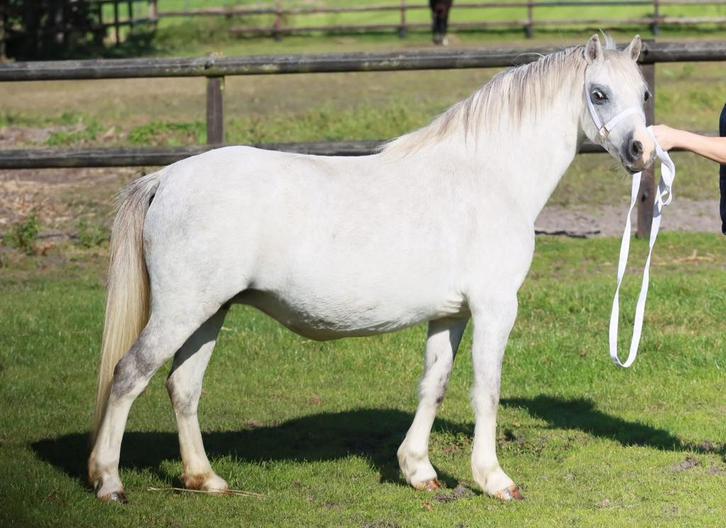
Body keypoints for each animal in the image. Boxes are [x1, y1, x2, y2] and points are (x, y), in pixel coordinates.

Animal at [89, 34, 655, 503]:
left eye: (644, 93)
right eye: (599, 93)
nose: (641, 151)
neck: (489, 176)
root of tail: (165, 178)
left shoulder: (451, 314)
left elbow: (435, 385)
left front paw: (418, 470)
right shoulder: (495, 308)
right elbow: (486, 390)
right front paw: (495, 480)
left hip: (210, 312)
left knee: (183, 387)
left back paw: (205, 479)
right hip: (181, 311)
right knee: (129, 375)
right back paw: (109, 482)